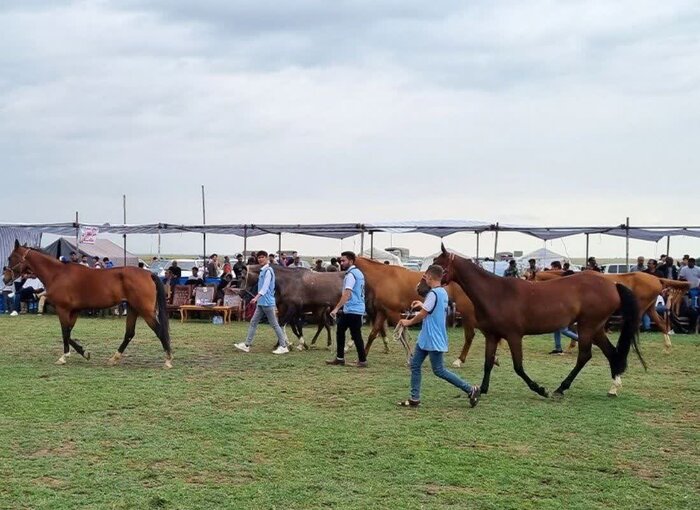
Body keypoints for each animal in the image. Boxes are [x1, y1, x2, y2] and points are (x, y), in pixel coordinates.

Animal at [8, 241, 174, 368]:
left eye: (11, 258)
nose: (6, 277)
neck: (57, 274)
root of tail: (149, 273)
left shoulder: (63, 309)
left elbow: (65, 332)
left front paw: (64, 357)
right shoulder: (74, 311)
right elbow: (69, 333)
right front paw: (84, 352)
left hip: (145, 311)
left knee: (159, 331)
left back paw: (168, 360)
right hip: (133, 308)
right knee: (129, 333)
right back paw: (114, 358)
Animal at [356, 256, 486, 368]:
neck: (383, 278)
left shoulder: (393, 312)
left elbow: (402, 335)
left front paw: (410, 358)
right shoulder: (383, 312)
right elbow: (373, 334)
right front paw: (363, 356)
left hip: (467, 312)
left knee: (469, 335)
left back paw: (459, 360)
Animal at [434, 246, 648, 398]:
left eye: (439, 266)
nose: (426, 285)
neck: (496, 293)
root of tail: (612, 284)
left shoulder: (514, 336)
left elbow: (518, 367)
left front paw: (540, 389)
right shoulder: (492, 336)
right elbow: (488, 363)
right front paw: (483, 389)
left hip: (588, 327)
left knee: (585, 356)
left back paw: (561, 388)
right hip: (595, 328)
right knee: (611, 352)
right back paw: (614, 387)